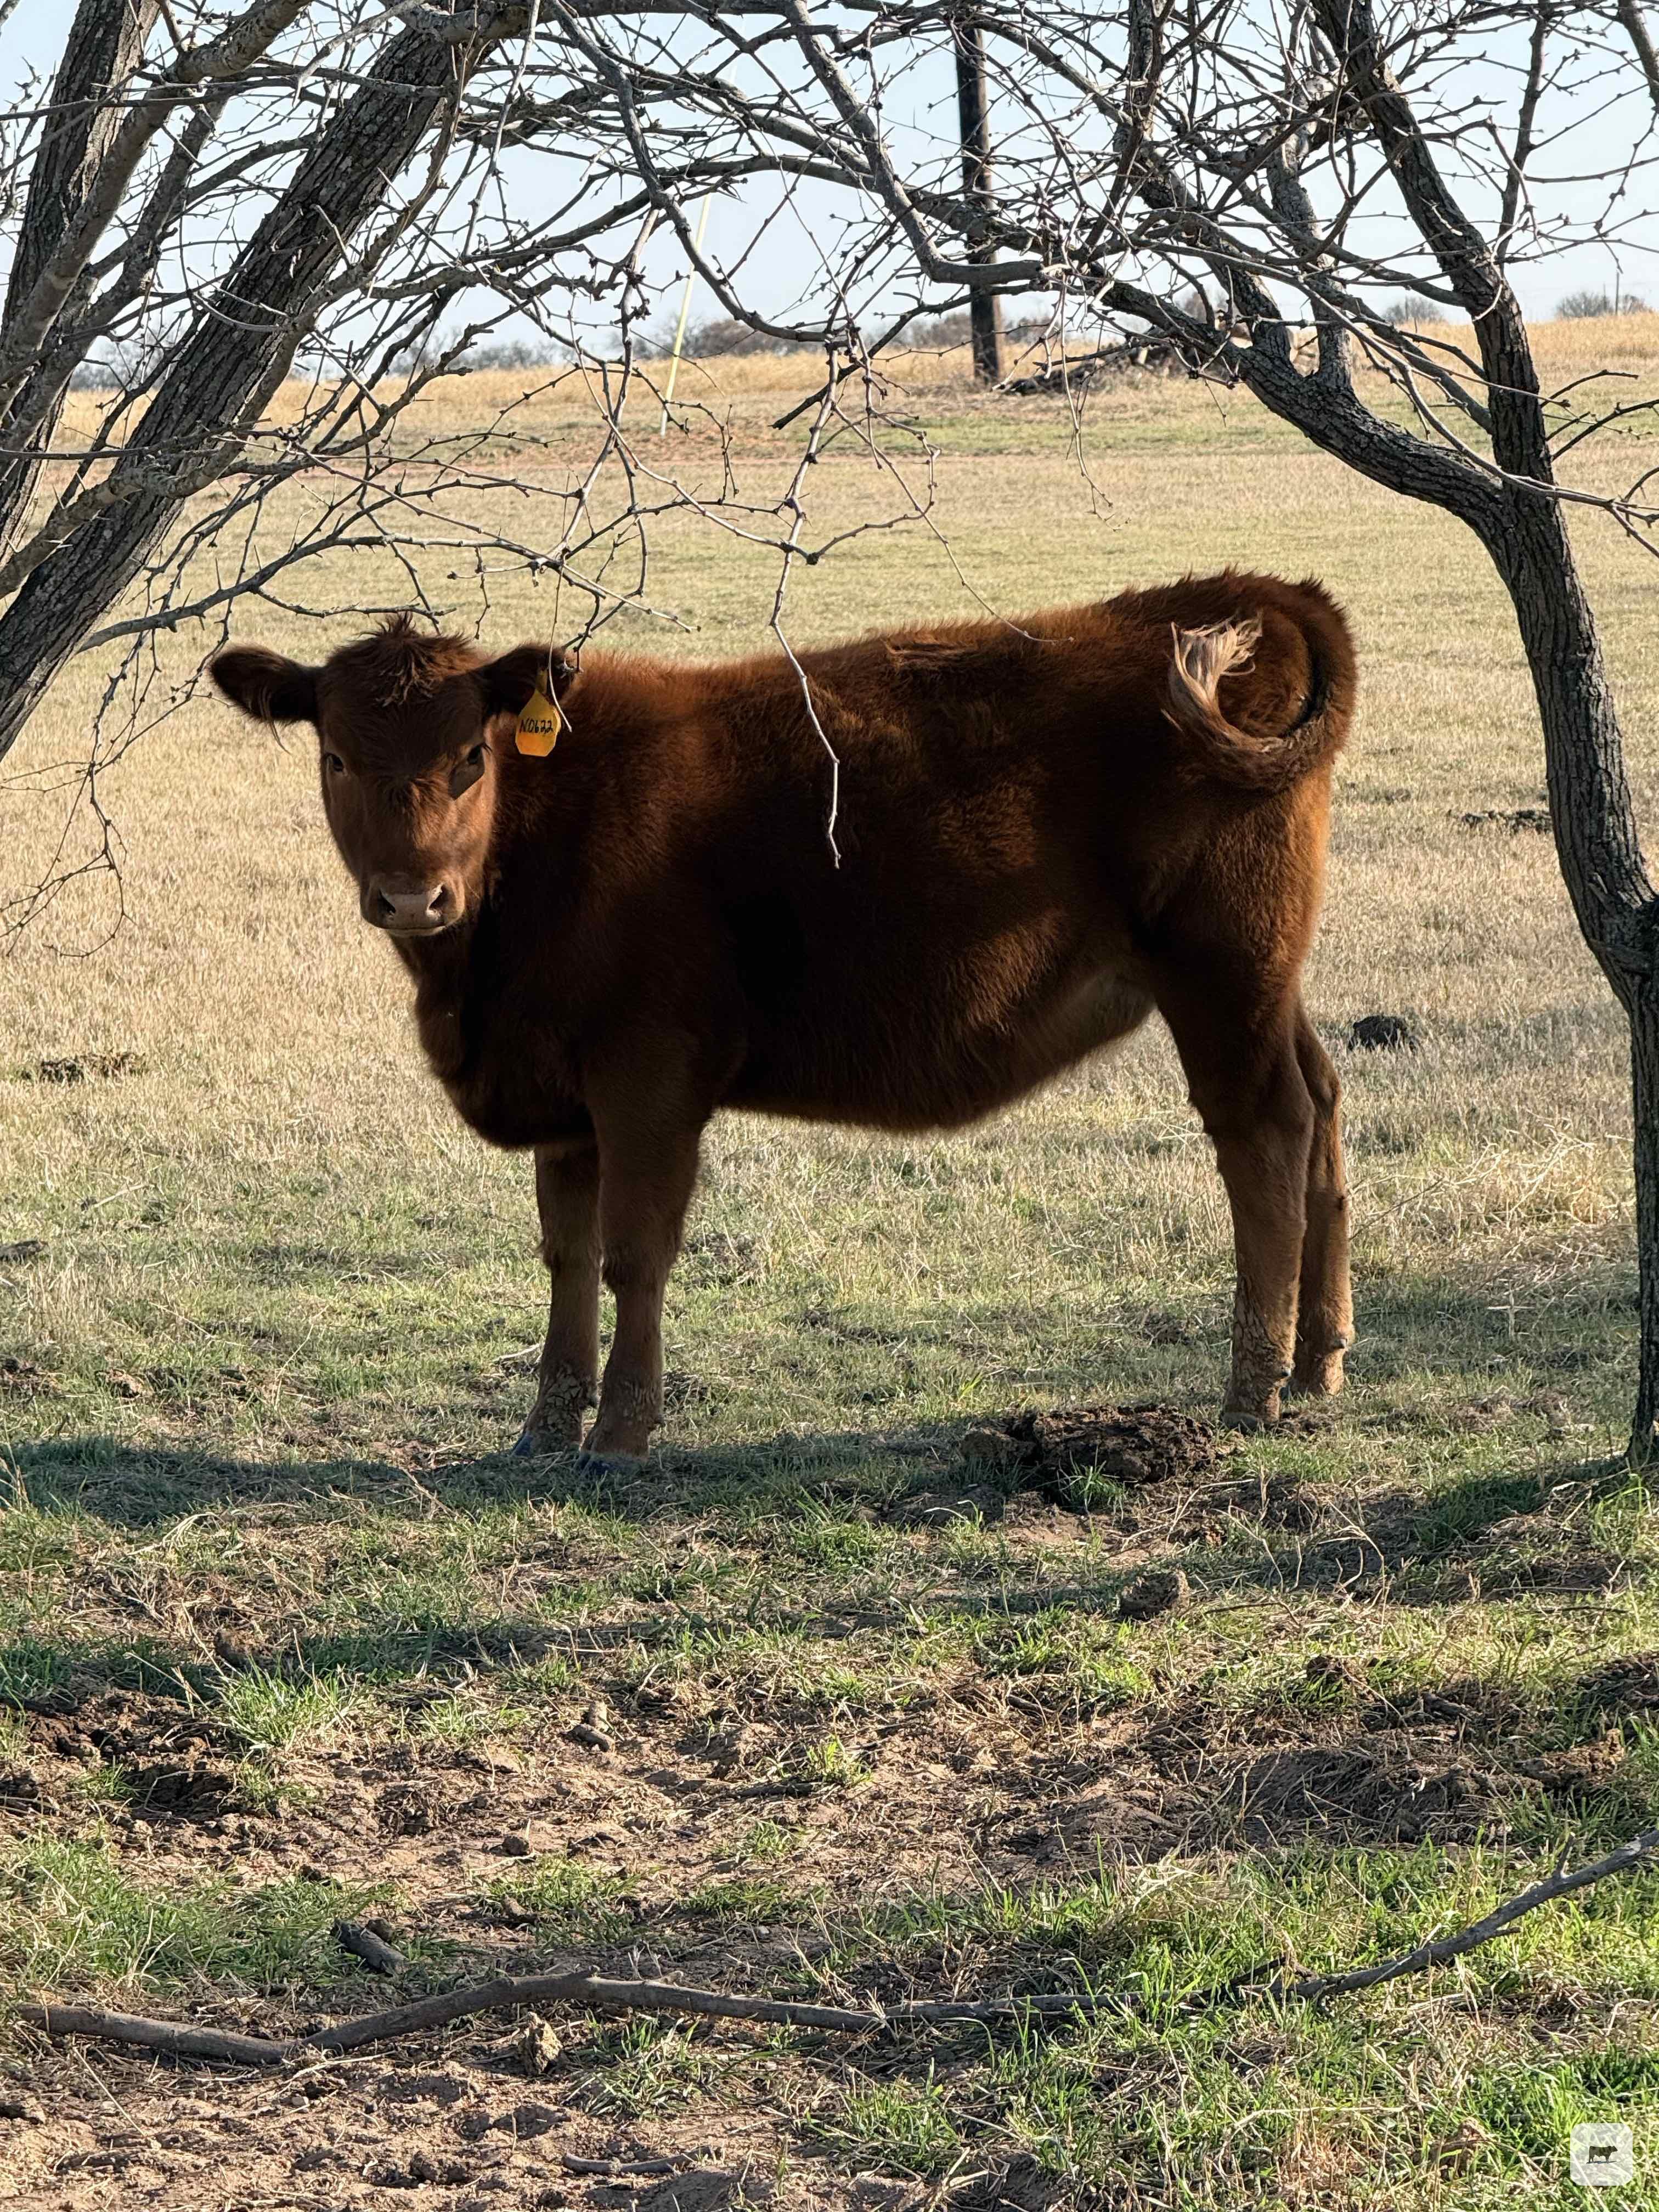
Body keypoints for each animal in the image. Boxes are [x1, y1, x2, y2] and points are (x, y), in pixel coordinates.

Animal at [211, 569, 1357, 1469]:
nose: (412, 897)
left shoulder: (646, 1078)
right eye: (336, 757)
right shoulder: (562, 1090)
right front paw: (543, 1426)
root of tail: (1247, 594)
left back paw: (1249, 1387)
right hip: (1269, 980)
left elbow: (633, 1252)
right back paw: (1314, 1363)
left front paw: (618, 1437)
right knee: (1321, 1107)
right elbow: (565, 1254)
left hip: (1221, 974)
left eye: (470, 758)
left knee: (1261, 1133)